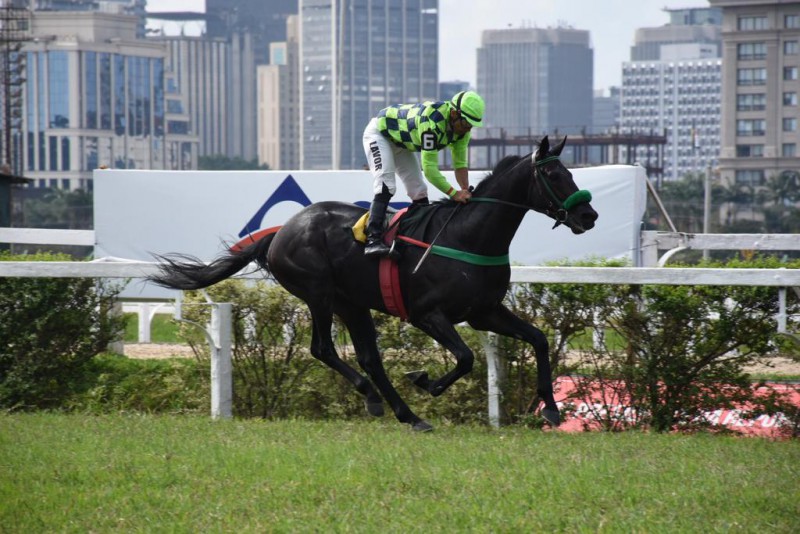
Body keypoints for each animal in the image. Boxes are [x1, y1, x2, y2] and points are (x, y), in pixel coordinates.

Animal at [148, 136, 600, 434]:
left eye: (570, 171)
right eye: (554, 174)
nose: (589, 216)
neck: (468, 237)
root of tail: (280, 230)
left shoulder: (484, 311)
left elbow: (538, 339)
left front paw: (551, 410)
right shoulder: (427, 314)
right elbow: (466, 357)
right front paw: (426, 380)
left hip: (352, 303)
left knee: (369, 357)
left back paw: (407, 415)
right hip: (319, 293)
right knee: (324, 349)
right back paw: (375, 397)